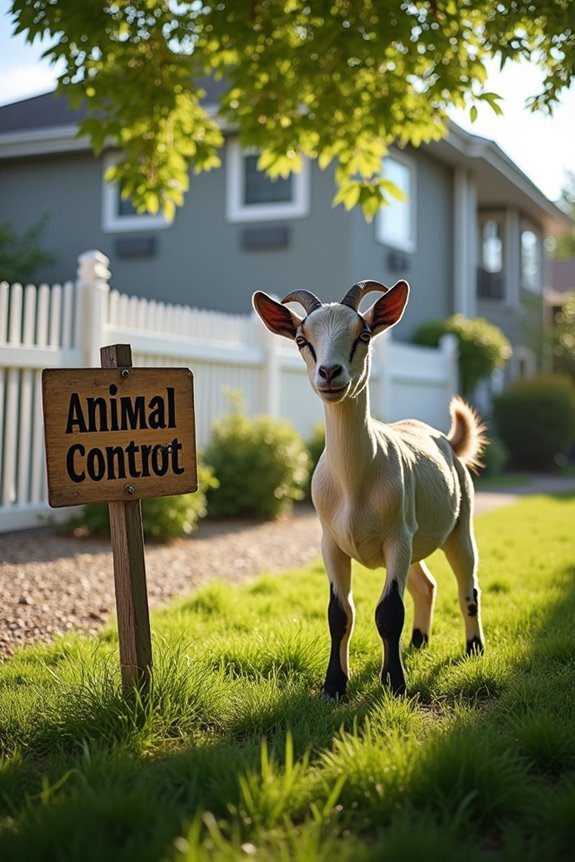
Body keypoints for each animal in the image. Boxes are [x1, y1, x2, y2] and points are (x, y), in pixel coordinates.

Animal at [252, 280, 487, 699]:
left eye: (363, 335)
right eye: (301, 339)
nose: (330, 372)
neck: (355, 485)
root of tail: (447, 441)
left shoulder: (397, 538)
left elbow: (389, 611)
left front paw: (394, 684)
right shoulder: (331, 543)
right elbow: (340, 613)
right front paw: (334, 686)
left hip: (459, 528)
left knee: (468, 588)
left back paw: (474, 648)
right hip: (415, 542)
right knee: (425, 585)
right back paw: (419, 641)